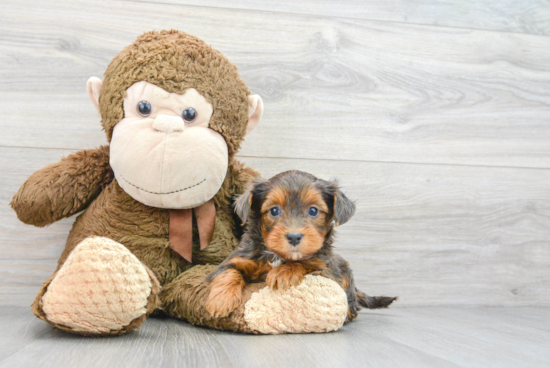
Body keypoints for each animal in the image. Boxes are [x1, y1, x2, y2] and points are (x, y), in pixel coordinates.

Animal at [206, 171, 396, 320]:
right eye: (274, 210)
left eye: (313, 210)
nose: (294, 237)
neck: (278, 255)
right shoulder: (239, 258)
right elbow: (228, 271)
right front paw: (221, 301)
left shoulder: (327, 271)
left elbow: (305, 263)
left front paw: (283, 272)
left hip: (345, 272)